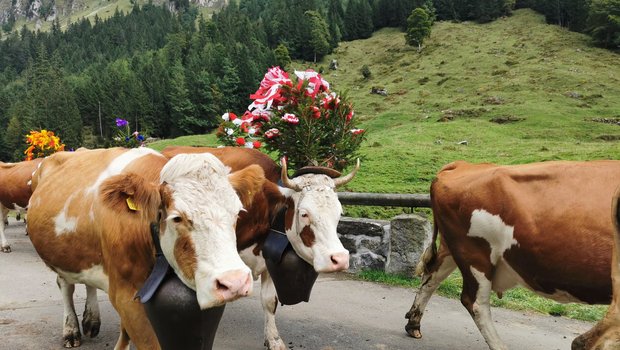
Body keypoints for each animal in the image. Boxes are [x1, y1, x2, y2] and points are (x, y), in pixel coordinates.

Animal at [26, 147, 266, 348]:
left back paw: (91, 320)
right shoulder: (126, 295)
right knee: (65, 285)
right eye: (177, 218)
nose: (235, 282)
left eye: (237, 212)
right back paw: (71, 330)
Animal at [162, 146, 358, 350]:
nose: (340, 259)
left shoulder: (268, 258)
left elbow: (269, 301)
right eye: (304, 213)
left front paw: (273, 339)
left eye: (339, 212)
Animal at [404, 161, 620, 350]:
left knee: (431, 277)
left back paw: (413, 325)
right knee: (475, 303)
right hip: (475, 255)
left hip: (452, 247)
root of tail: (463, 165)